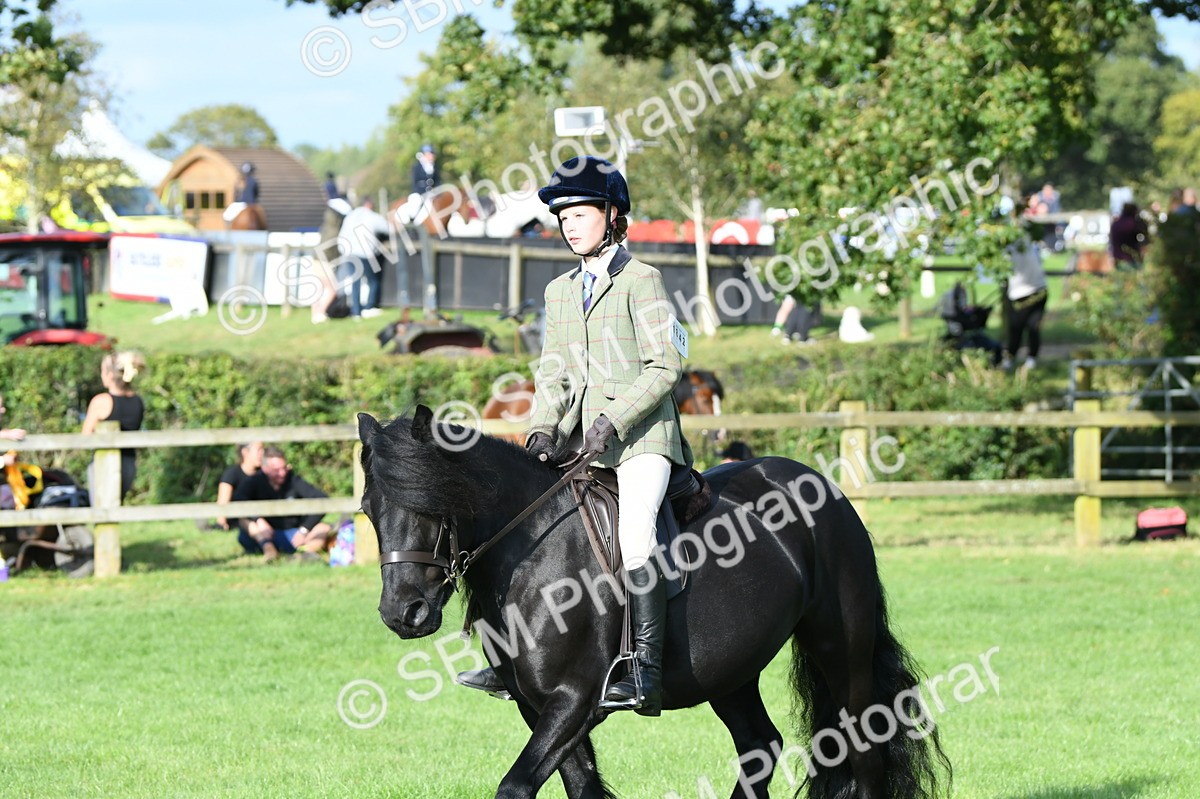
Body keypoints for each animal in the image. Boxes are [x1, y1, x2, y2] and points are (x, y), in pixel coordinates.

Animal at [358, 406, 950, 799]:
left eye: (431, 502)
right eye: (368, 508)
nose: (403, 614)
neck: (533, 552)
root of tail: (818, 484)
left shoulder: (574, 700)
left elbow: (516, 786)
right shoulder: (539, 707)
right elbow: (582, 789)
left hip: (839, 648)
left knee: (863, 750)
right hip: (729, 671)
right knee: (760, 745)